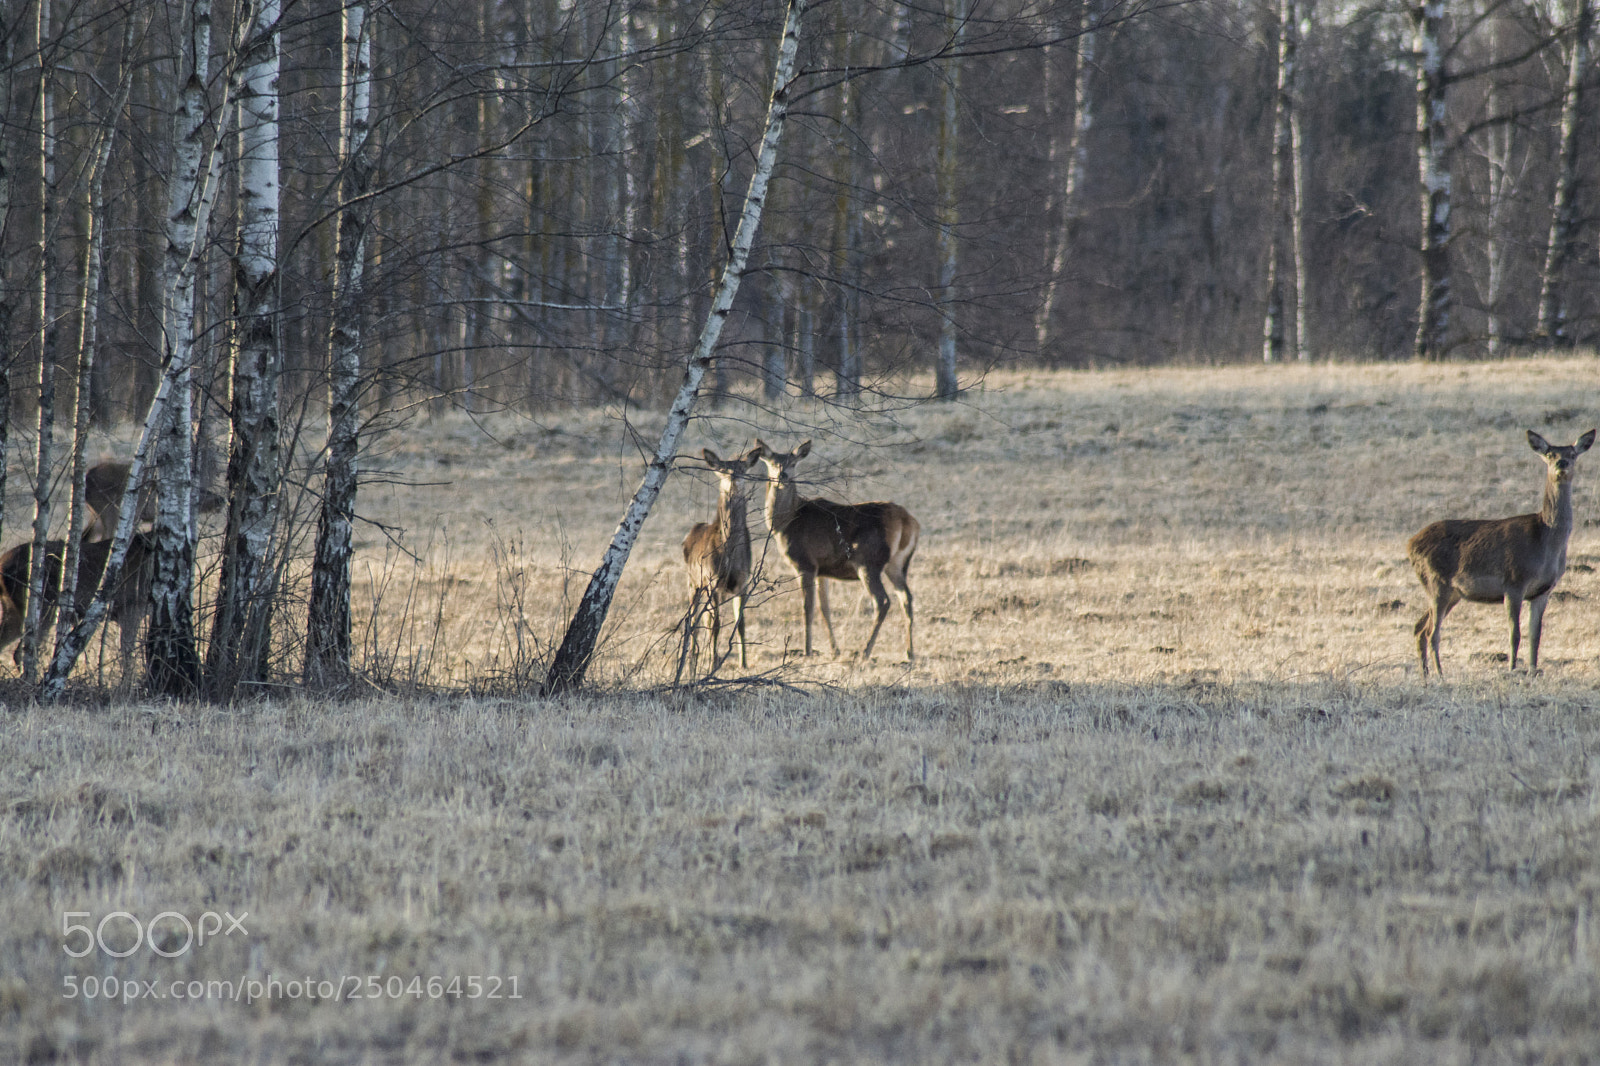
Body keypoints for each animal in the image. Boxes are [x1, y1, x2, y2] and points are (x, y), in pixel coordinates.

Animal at [0, 532, 156, 672]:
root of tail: (3, 566)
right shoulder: (131, 606)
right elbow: (127, 656)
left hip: (13, 609)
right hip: (44, 607)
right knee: (23, 652)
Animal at [681, 447, 759, 670]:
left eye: (742, 468)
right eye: (723, 469)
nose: (733, 477)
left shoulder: (743, 581)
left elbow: (741, 623)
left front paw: (744, 663)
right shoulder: (713, 580)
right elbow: (715, 625)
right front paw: (713, 664)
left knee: (704, 618)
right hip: (693, 582)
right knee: (693, 619)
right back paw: (692, 656)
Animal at [752, 439, 919, 662]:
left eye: (793, 463)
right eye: (772, 463)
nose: (783, 475)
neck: (787, 521)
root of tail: (907, 521)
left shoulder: (804, 563)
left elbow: (807, 607)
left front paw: (807, 651)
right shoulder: (822, 570)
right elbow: (824, 608)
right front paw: (834, 650)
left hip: (867, 560)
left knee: (882, 601)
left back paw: (865, 651)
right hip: (897, 564)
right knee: (906, 598)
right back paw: (909, 652)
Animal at [1408, 428, 1595, 679]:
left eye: (1573, 453)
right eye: (1550, 454)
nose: (1562, 464)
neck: (1544, 541)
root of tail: (1410, 544)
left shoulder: (1543, 590)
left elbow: (1535, 635)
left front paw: (1533, 670)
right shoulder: (1514, 582)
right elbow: (1514, 633)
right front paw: (1512, 668)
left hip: (1452, 593)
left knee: (1419, 627)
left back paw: (1426, 674)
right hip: (1437, 583)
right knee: (1431, 632)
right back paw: (1440, 673)